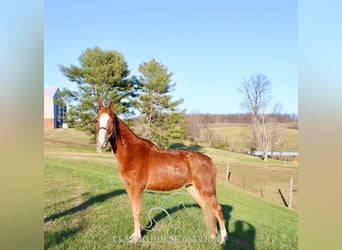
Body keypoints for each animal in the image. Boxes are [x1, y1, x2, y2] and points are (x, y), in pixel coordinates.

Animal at [96, 99, 228, 244]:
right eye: (97, 120)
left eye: (112, 120)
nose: (101, 143)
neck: (132, 153)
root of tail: (210, 160)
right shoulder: (129, 188)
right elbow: (133, 210)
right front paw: (134, 235)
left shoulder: (137, 188)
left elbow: (137, 211)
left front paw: (137, 238)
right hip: (193, 188)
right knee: (207, 208)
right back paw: (212, 236)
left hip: (207, 190)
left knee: (217, 209)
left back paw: (223, 239)